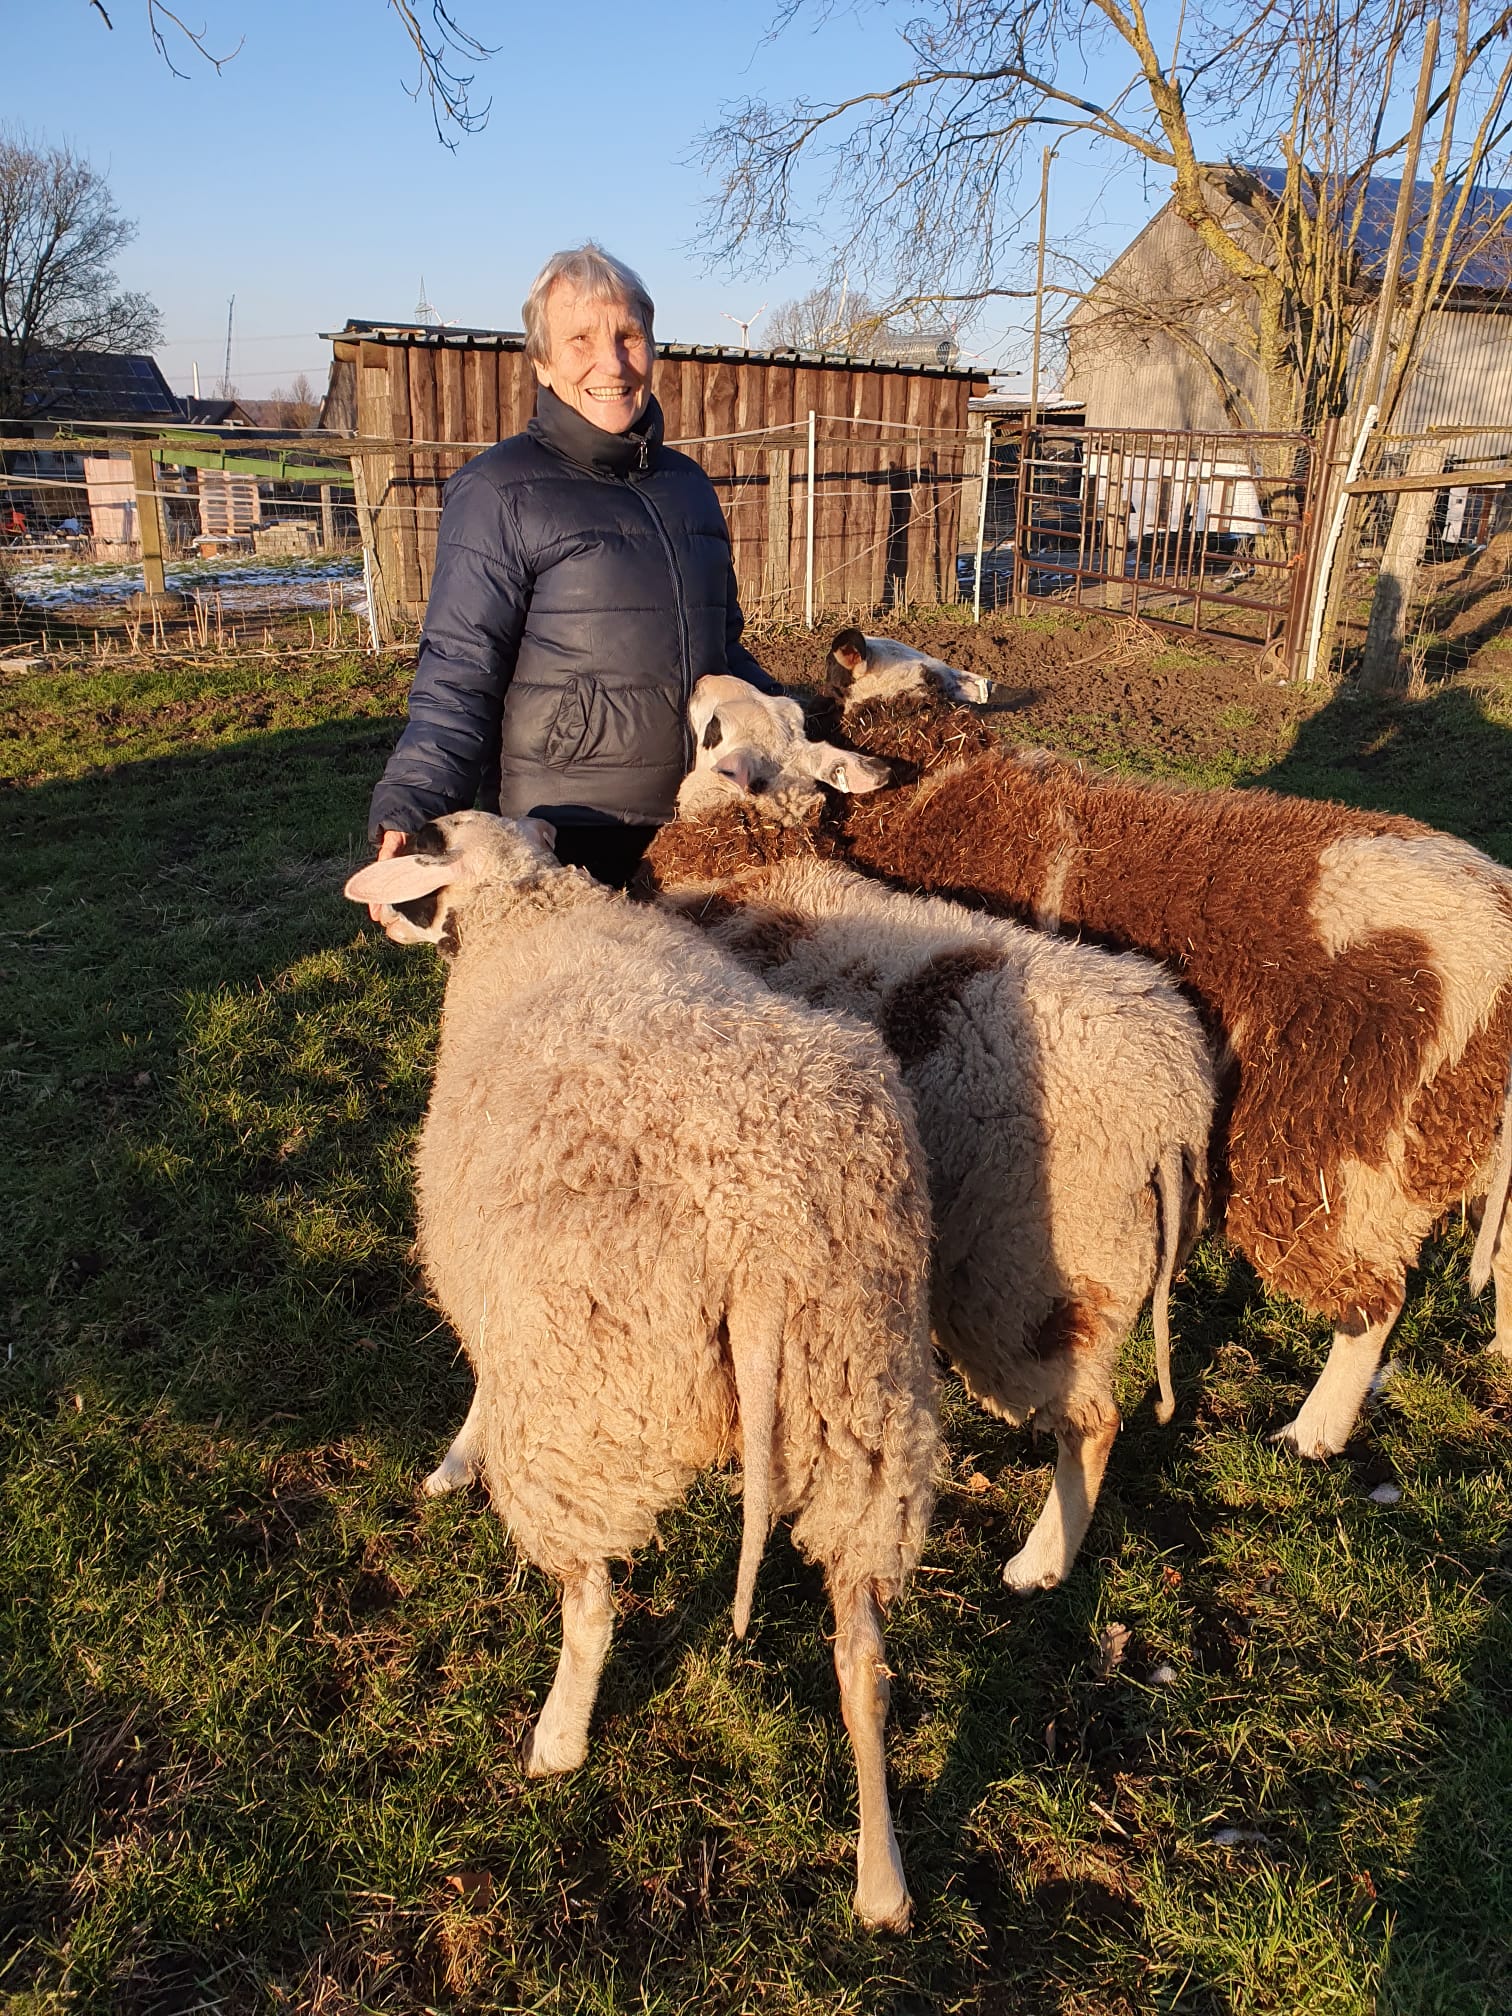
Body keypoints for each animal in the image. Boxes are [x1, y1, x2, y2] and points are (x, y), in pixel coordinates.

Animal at [343, 811, 938, 1932]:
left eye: (430, 857)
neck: (530, 907)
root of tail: (764, 1236)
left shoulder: (500, 1300)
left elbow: (482, 1380)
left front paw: (456, 1459)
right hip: (862, 1411)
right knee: (864, 1661)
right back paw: (881, 1882)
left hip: (585, 1406)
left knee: (591, 1605)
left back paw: (555, 1742)